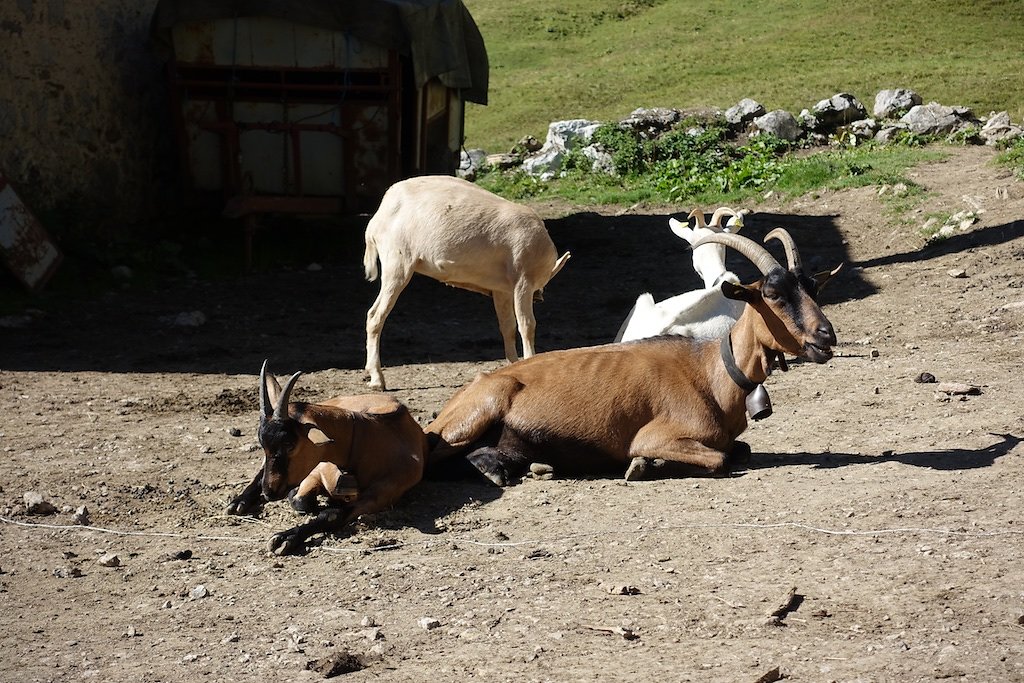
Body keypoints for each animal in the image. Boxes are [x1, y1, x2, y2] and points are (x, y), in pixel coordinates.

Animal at [227, 362, 423, 557]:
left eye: (289, 444)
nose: (269, 491)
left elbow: (331, 514)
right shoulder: (315, 471)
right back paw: (238, 503)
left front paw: (284, 538)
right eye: (262, 443)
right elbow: (301, 501)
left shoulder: (378, 497)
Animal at [364, 176, 573, 389]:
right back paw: (377, 379)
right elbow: (527, 325)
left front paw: (513, 366)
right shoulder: (523, 281)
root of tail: (376, 220)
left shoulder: (503, 290)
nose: (540, 297)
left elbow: (508, 326)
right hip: (397, 262)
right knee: (375, 316)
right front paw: (530, 361)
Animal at [423, 229, 839, 485]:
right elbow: (718, 459)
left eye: (813, 287)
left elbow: (740, 451)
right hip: (480, 410)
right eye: (772, 293)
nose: (826, 335)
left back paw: (516, 465)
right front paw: (643, 465)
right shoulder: (655, 435)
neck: (711, 373)